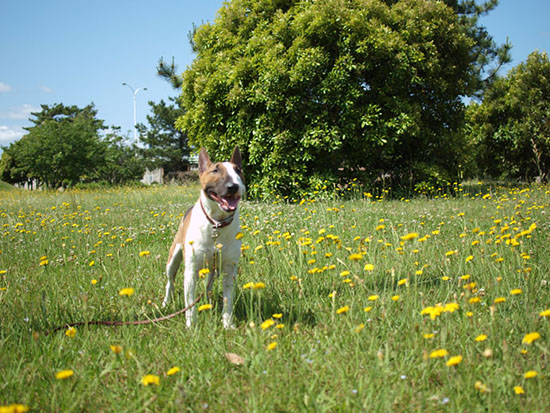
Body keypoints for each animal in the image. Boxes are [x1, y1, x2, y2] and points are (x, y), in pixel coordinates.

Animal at [163, 146, 247, 326]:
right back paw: (166, 303)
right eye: (215, 170)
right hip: (173, 258)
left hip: (213, 269)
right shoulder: (190, 271)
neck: (216, 223)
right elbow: (190, 303)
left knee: (208, 285)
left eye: (238, 170)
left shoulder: (229, 269)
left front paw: (228, 324)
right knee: (170, 281)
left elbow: (228, 299)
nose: (233, 186)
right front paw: (191, 325)